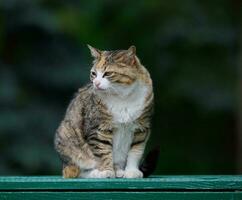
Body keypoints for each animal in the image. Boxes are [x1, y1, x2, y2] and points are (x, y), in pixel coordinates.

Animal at [54, 45, 154, 178]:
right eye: (93, 74)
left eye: (108, 73)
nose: (96, 83)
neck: (123, 97)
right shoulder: (98, 129)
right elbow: (103, 151)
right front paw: (106, 171)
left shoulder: (141, 128)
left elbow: (135, 151)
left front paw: (132, 171)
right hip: (66, 137)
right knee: (76, 171)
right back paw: (95, 172)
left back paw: (119, 170)